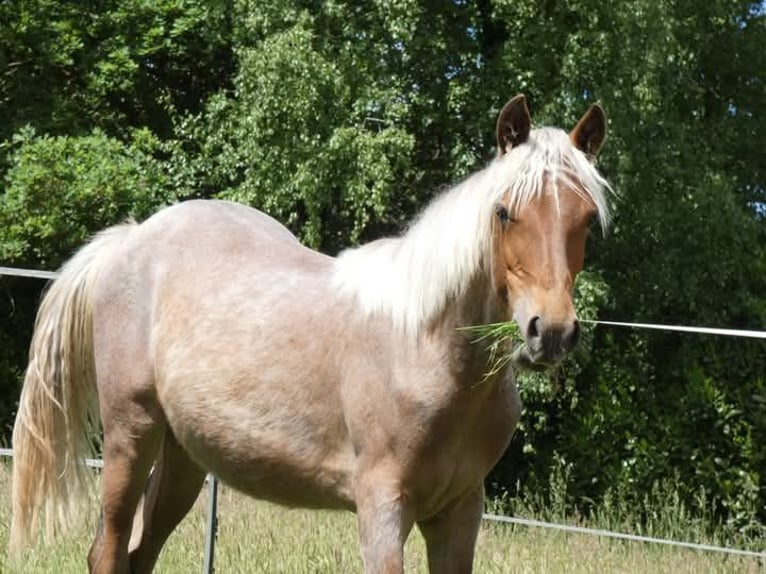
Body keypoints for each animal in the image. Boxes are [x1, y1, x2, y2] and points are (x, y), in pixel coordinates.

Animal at [10, 95, 611, 573]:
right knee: (109, 551)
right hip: (129, 436)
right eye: (505, 212)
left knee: (139, 554)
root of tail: (131, 239)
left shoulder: (459, 512)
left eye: (586, 220)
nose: (550, 331)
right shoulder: (382, 508)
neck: (425, 352)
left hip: (183, 458)